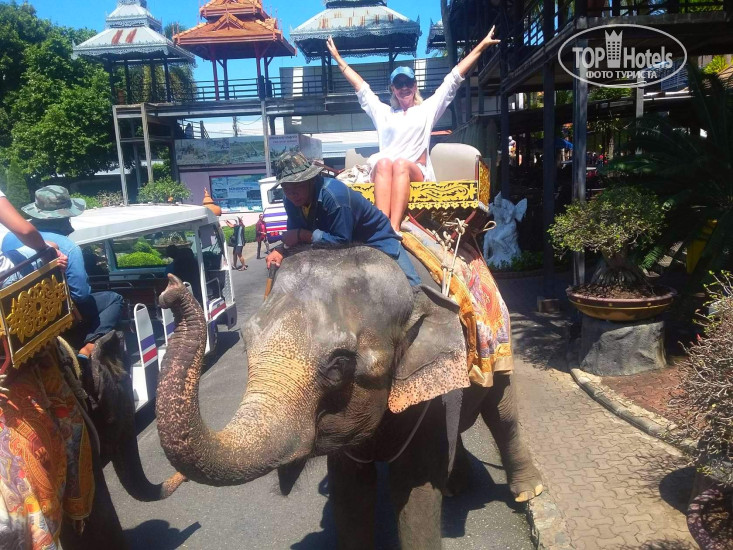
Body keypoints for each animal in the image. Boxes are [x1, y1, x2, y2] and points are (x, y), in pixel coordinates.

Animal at [156, 245, 542, 549]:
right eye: (245, 343)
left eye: (340, 362)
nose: (170, 287)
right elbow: (351, 494)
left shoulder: (426, 398)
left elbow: (415, 490)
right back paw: (456, 487)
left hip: (500, 344)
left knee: (503, 414)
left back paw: (527, 492)